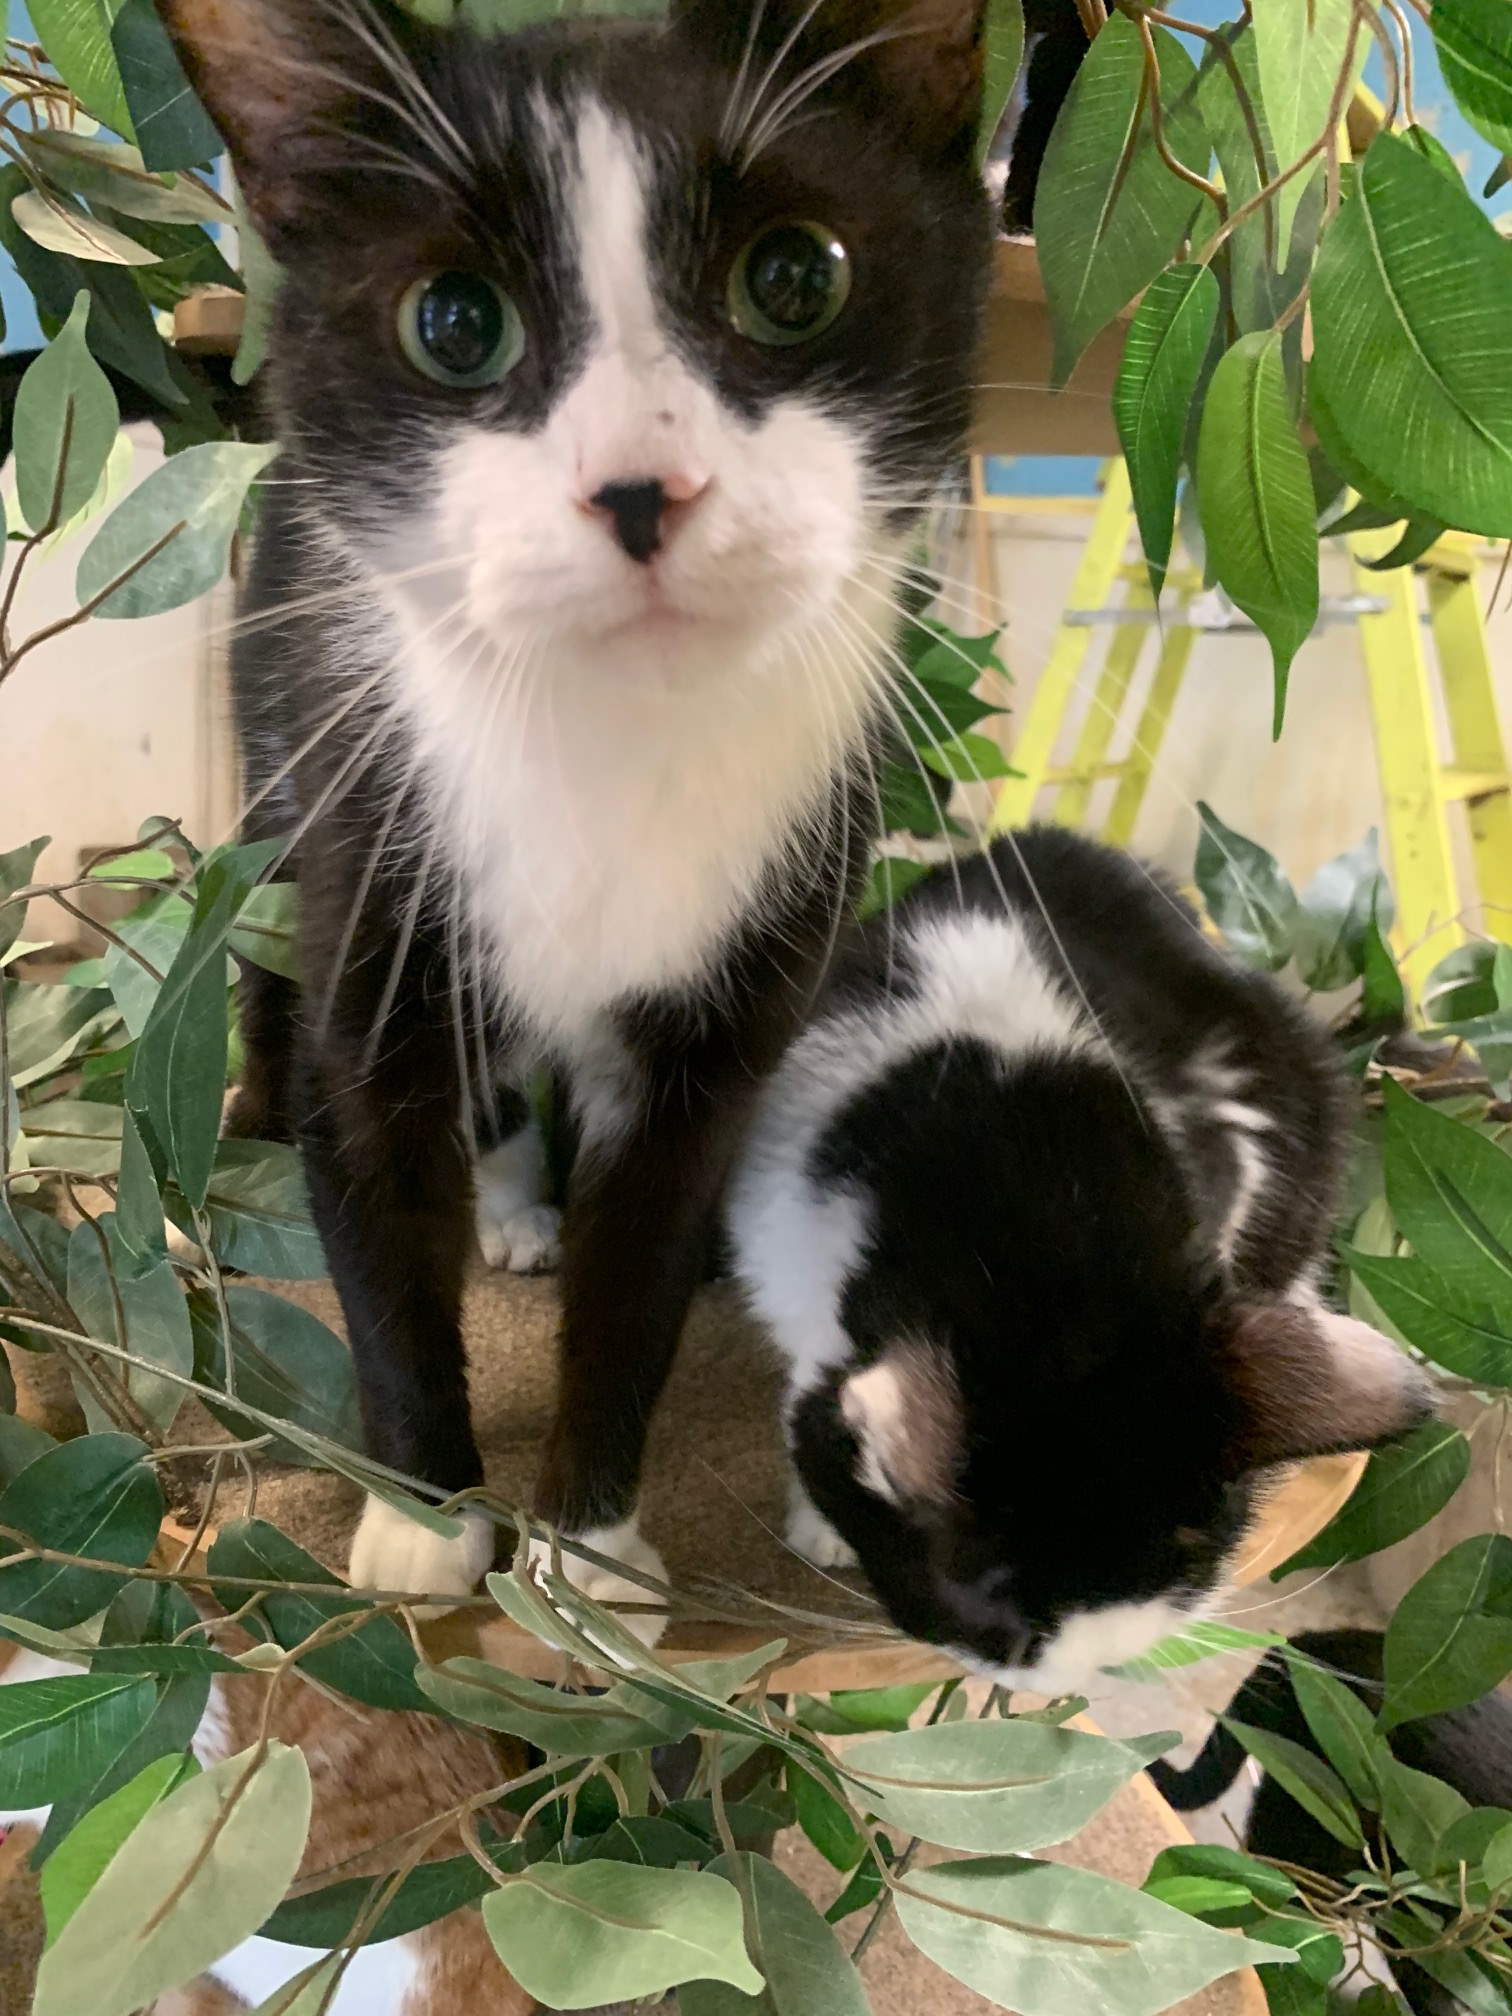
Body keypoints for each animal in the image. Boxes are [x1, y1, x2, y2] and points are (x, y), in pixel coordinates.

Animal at [160, 0, 999, 1612]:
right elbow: (374, 1214)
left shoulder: (727, 1009)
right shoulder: (375, 891)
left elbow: (644, 1269)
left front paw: (589, 1551)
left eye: (795, 280)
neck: (613, 742)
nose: (640, 488)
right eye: (454, 322)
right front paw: (427, 1520)